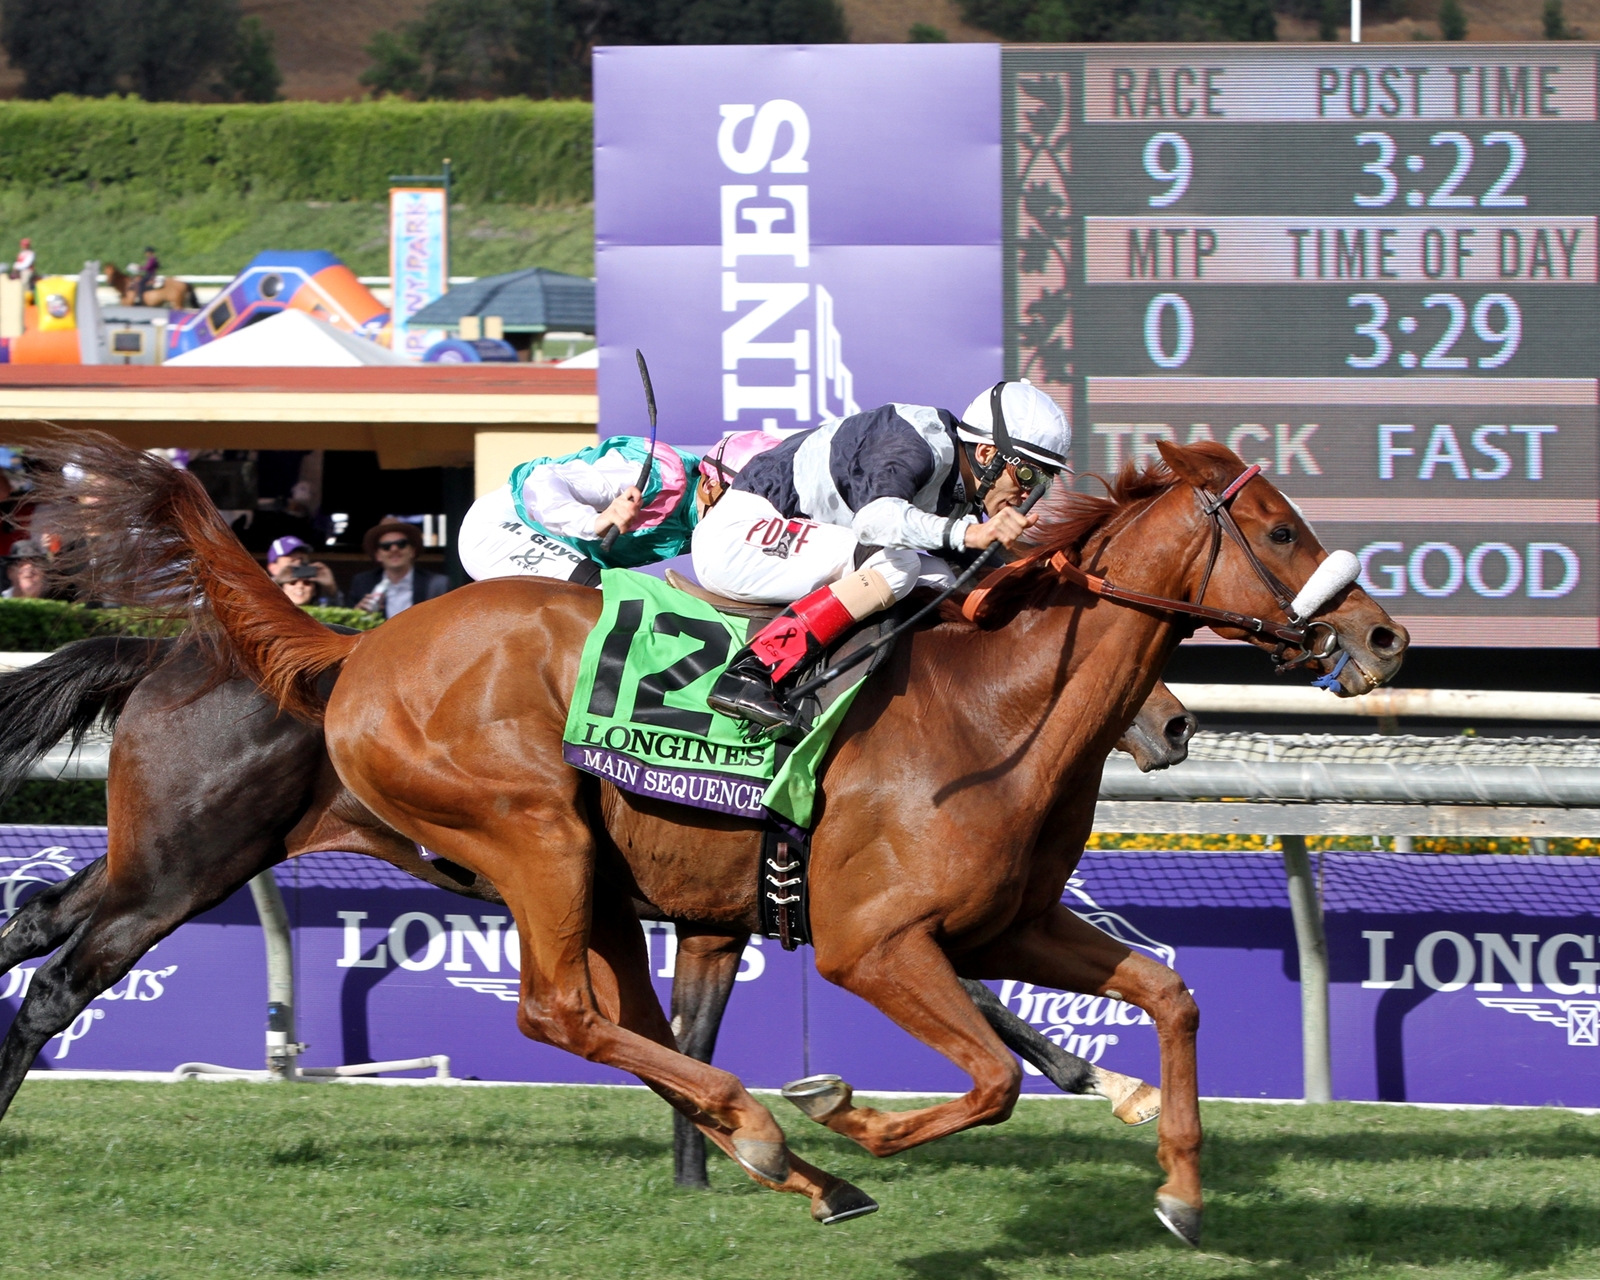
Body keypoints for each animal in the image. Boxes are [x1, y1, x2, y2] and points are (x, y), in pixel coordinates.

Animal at [28, 435, 1401, 1248]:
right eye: (1280, 530)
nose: (1383, 637)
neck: (993, 713)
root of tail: (353, 651)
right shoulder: (868, 943)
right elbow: (990, 1077)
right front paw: (843, 1113)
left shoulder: (1004, 922)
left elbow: (1167, 995)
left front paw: (1177, 1185)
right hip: (519, 834)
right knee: (557, 1013)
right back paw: (772, 1138)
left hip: (560, 865)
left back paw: (771, 1153)